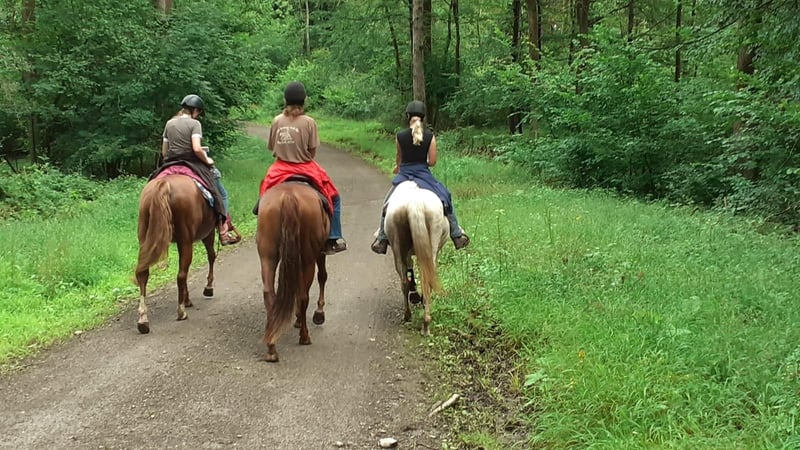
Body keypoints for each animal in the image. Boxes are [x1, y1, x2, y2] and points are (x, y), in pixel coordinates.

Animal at [134, 174, 217, 334]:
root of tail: (164, 184)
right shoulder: (208, 232)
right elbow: (211, 256)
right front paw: (208, 288)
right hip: (186, 239)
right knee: (181, 274)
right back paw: (181, 311)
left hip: (144, 237)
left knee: (143, 274)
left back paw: (143, 320)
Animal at [256, 181, 330, 362]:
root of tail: (288, 196)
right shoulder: (320, 253)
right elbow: (322, 277)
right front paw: (318, 314)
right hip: (308, 258)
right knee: (304, 296)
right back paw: (304, 337)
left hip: (267, 256)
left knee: (269, 293)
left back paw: (271, 348)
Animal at [384, 180, 450, 335]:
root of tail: (414, 204)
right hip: (430, 245)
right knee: (424, 281)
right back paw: (423, 322)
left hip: (398, 246)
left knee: (405, 281)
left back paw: (412, 317)